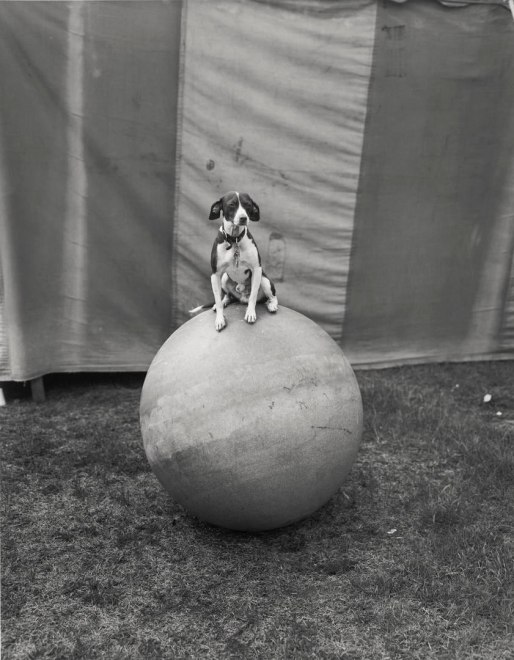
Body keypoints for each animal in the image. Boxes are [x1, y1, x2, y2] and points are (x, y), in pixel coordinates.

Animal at [189, 192, 278, 332]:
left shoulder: (256, 269)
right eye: (231, 204)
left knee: (272, 296)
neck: (234, 239)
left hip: (264, 280)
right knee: (227, 296)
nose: (243, 218)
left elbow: (253, 296)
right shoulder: (215, 274)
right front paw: (220, 319)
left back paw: (272, 305)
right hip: (224, 278)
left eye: (248, 205)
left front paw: (250, 313)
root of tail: (241, 298)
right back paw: (223, 302)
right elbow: (217, 298)